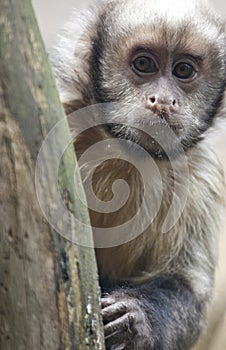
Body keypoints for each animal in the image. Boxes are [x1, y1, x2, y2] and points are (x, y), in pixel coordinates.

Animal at [51, 0, 226, 348]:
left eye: (183, 71)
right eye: (144, 64)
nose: (164, 100)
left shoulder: (201, 181)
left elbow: (189, 291)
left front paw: (137, 318)